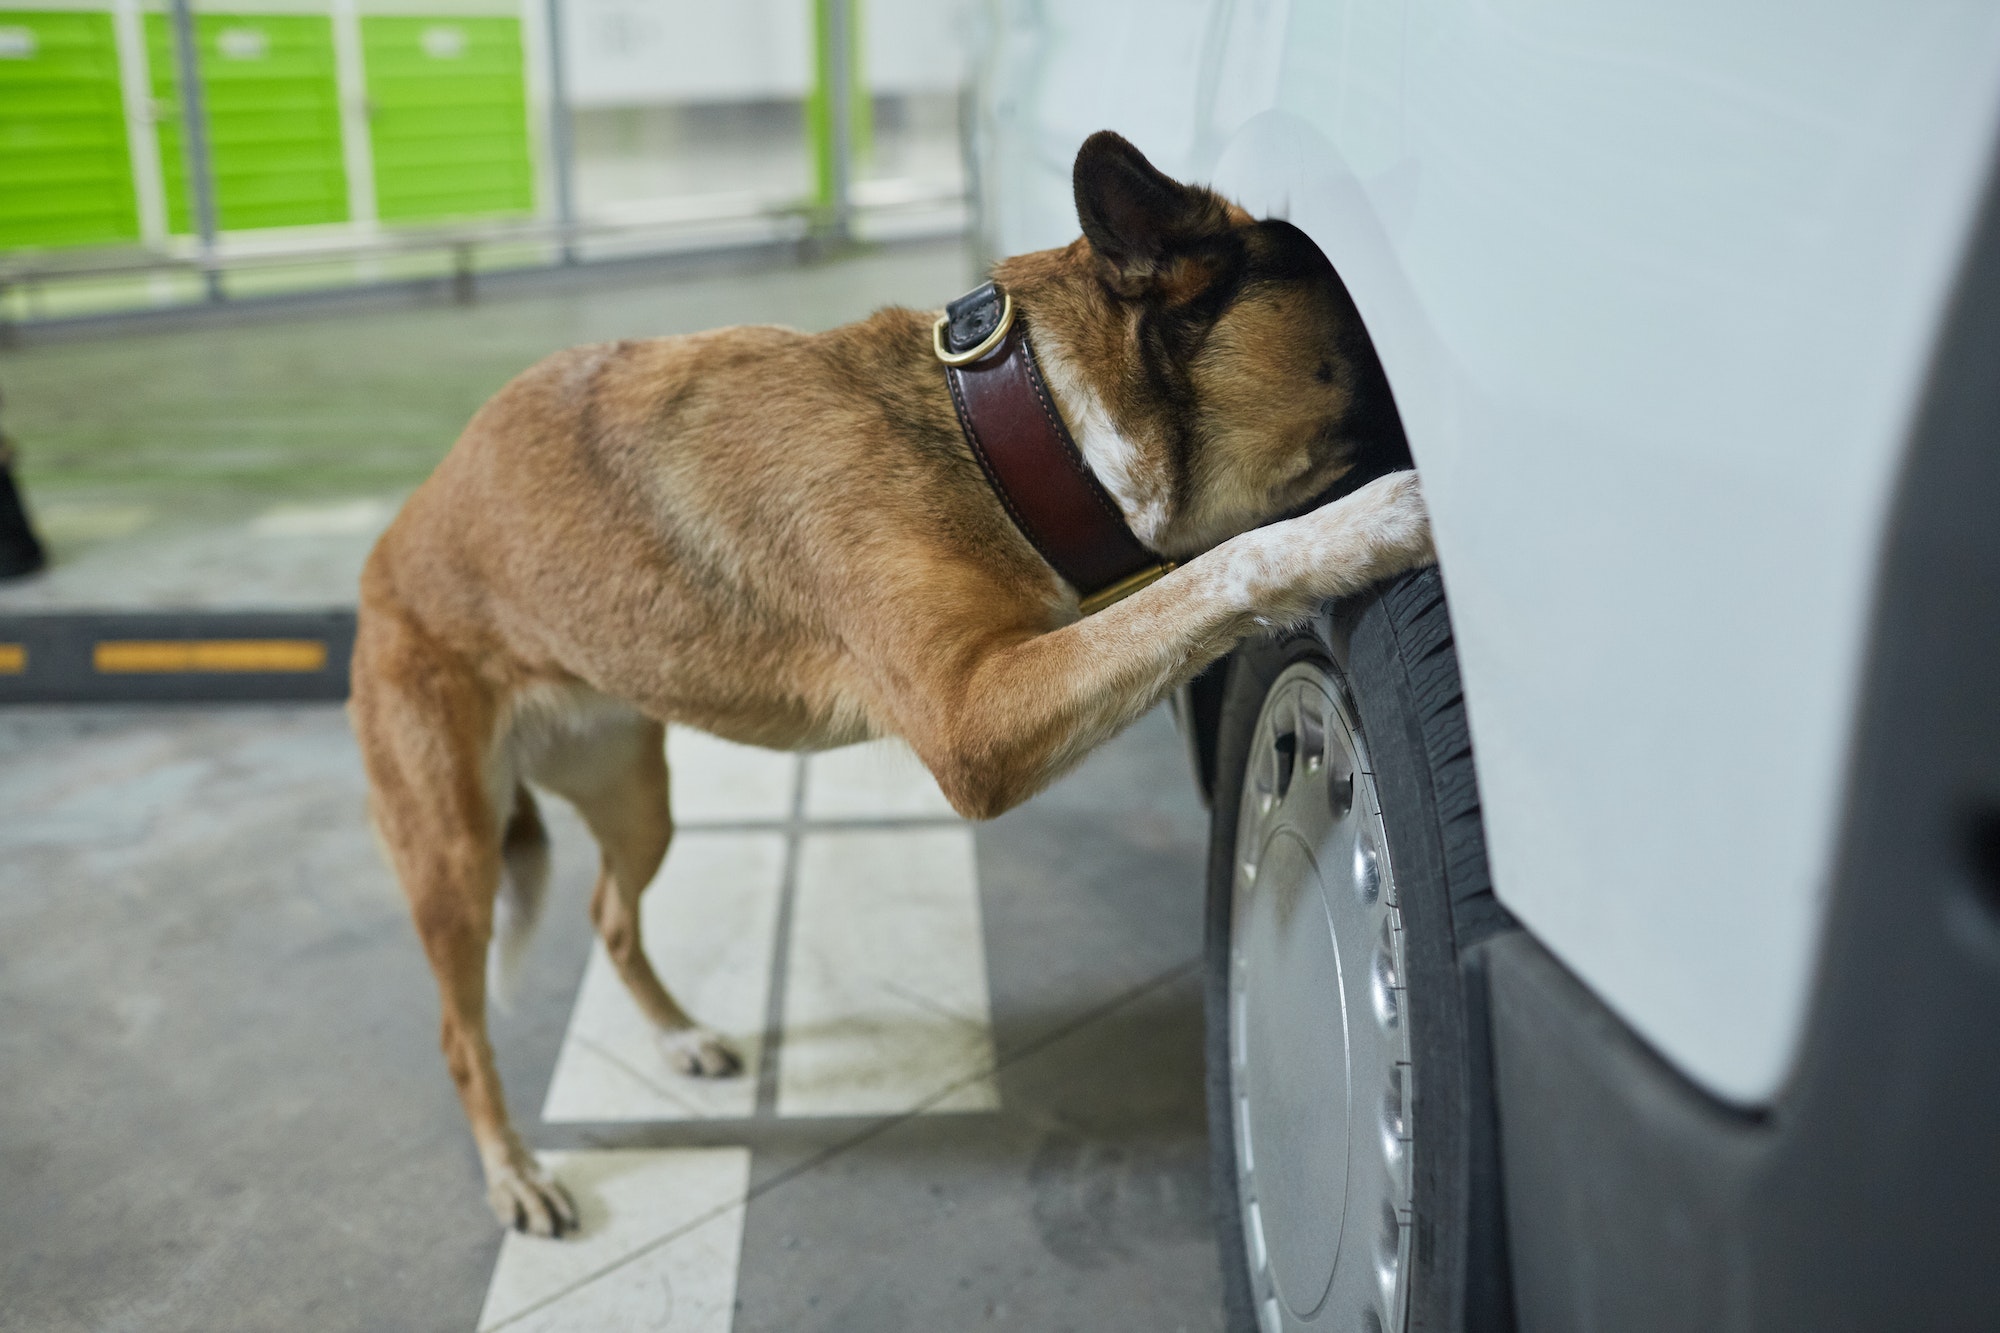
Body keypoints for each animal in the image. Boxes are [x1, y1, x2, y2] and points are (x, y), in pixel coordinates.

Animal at [348, 130, 1440, 1232]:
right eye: (1361, 345)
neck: (1009, 418)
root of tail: (387, 551)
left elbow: (1197, 585)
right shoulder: (973, 722)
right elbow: (1233, 564)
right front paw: (1380, 519)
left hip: (635, 797)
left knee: (610, 917)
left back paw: (676, 1035)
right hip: (455, 859)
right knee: (460, 1034)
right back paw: (514, 1170)